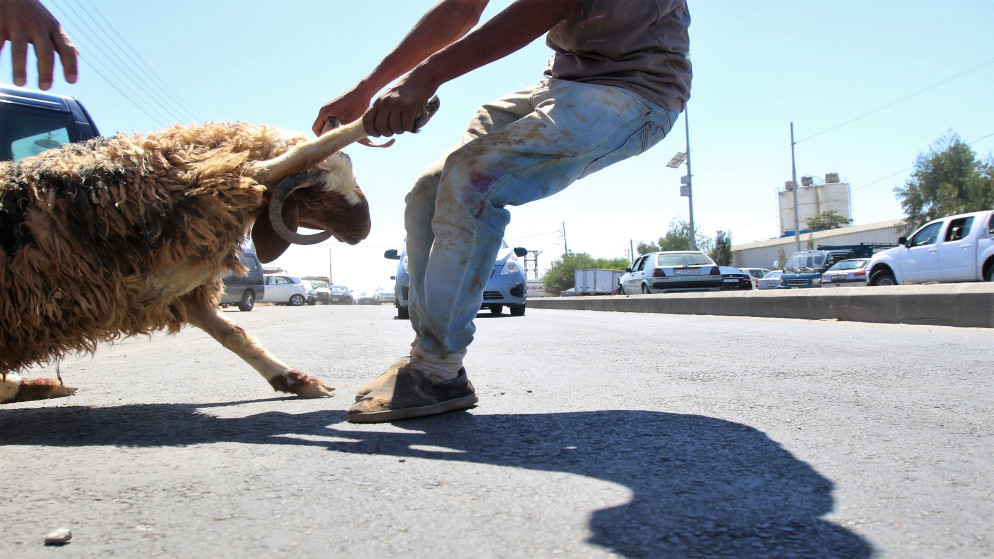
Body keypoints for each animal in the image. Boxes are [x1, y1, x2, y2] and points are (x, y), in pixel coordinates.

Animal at [0, 98, 438, 404]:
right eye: (314, 199)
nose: (364, 229)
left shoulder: (174, 284)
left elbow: (233, 332)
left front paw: (295, 380)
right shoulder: (185, 215)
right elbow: (279, 165)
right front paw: (400, 111)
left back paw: (36, 384)